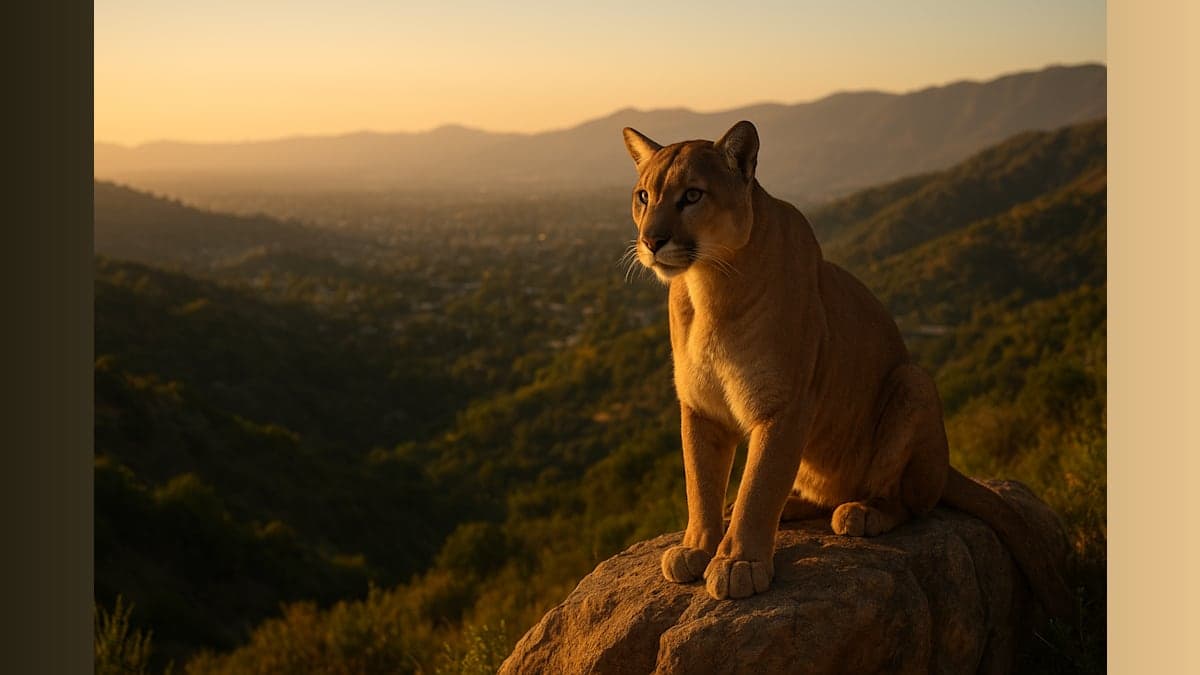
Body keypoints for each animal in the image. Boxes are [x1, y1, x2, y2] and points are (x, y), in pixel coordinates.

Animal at [620, 120, 1072, 616]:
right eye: (644, 196)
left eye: (692, 195)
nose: (651, 241)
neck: (707, 285)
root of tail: (947, 466)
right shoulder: (701, 407)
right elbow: (700, 483)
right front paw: (699, 546)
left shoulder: (784, 406)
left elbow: (759, 484)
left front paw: (739, 563)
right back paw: (784, 506)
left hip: (913, 382)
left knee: (909, 502)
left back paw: (862, 512)